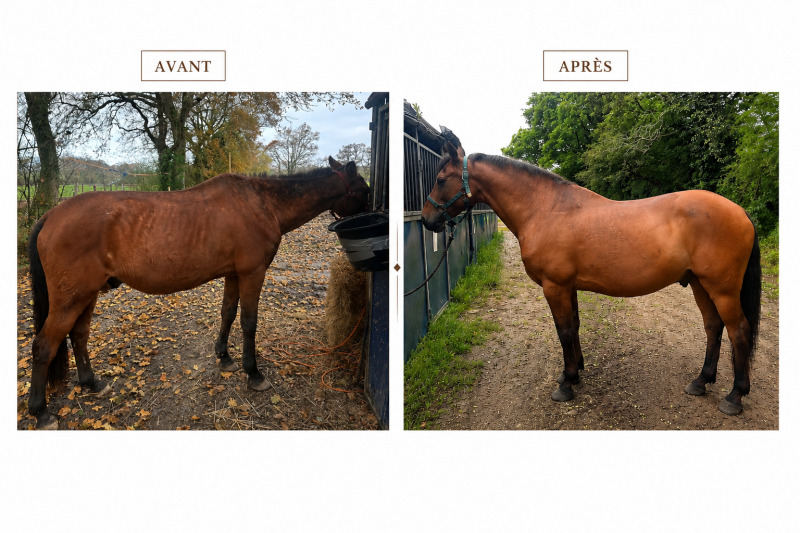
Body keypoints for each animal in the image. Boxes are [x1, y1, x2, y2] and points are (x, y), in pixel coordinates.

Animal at [26, 156, 369, 430]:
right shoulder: (252, 273)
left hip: (87, 295)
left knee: (79, 335)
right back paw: (40, 413)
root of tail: (50, 216)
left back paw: (92, 384)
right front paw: (253, 373)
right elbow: (248, 322)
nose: (374, 213)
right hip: (70, 299)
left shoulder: (234, 274)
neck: (261, 204)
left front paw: (225, 357)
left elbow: (228, 314)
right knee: (44, 346)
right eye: (365, 190)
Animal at [422, 141, 761, 416]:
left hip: (722, 289)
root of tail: (741, 212)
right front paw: (574, 372)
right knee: (713, 327)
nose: (426, 220)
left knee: (739, 331)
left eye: (440, 180)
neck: (544, 209)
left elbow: (564, 332)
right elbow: (574, 326)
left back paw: (734, 397)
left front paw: (567, 385)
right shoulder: (567, 287)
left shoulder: (554, 287)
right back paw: (701, 381)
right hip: (700, 284)